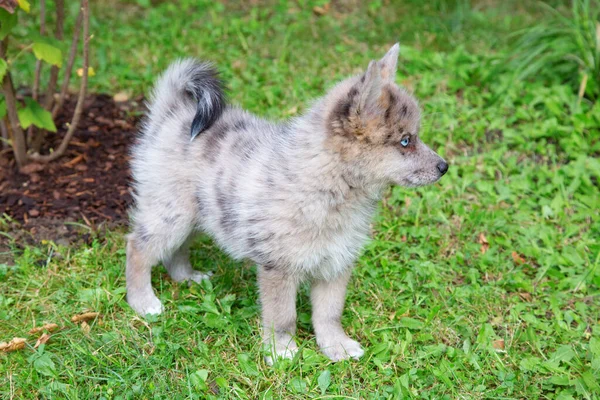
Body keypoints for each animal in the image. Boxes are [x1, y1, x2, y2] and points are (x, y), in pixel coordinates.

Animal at [125, 43, 446, 362]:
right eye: (405, 141)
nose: (445, 167)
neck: (329, 188)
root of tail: (173, 112)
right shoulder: (278, 267)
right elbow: (282, 316)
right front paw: (281, 351)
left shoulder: (336, 264)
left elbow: (329, 314)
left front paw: (336, 346)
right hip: (172, 215)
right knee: (138, 248)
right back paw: (142, 300)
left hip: (198, 218)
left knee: (174, 250)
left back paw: (187, 277)